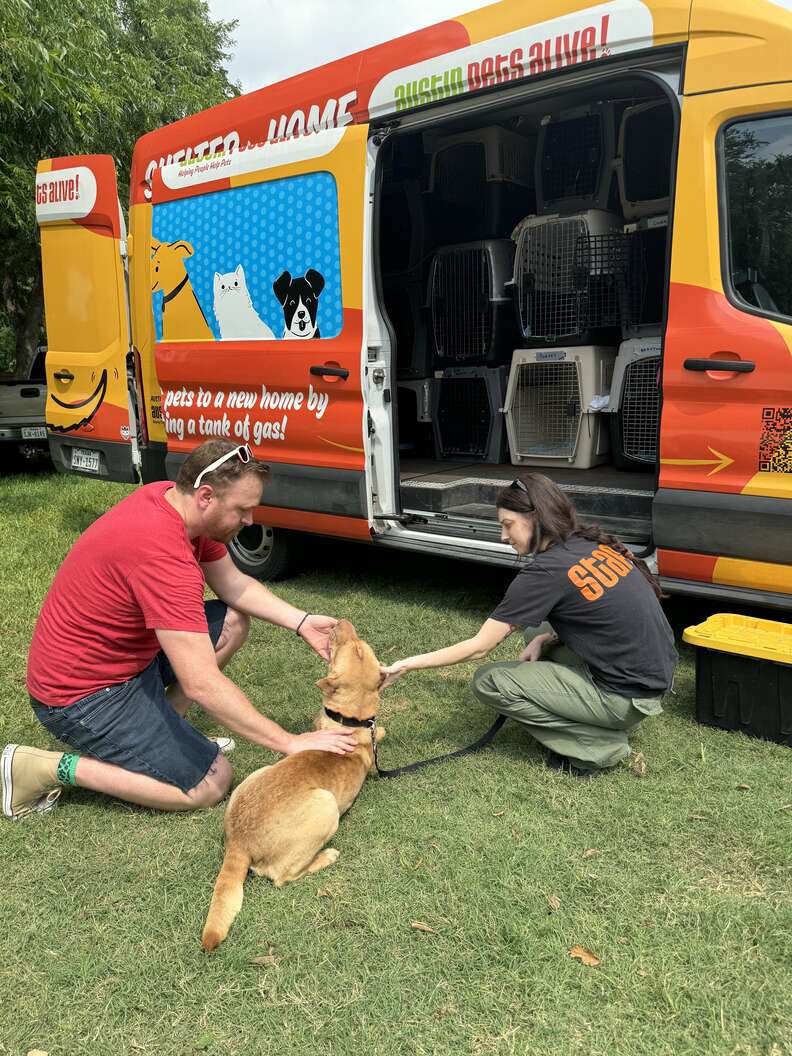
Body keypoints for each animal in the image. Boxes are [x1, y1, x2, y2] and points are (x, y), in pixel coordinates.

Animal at [199, 616, 382, 950]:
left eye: (359, 647)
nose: (341, 621)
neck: (348, 719)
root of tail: (239, 843)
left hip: (255, 777)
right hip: (326, 806)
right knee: (284, 877)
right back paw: (326, 856)